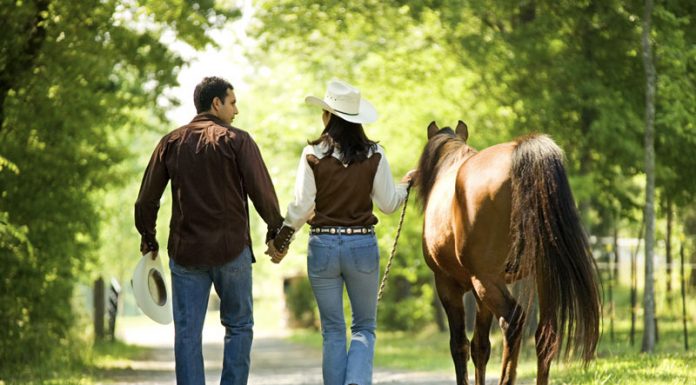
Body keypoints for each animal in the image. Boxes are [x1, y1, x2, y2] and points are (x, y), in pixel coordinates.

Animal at [414, 121, 604, 384]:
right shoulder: (479, 294)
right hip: (541, 275)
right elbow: (480, 347)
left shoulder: (447, 284)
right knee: (545, 333)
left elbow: (460, 346)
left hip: (487, 280)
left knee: (513, 322)